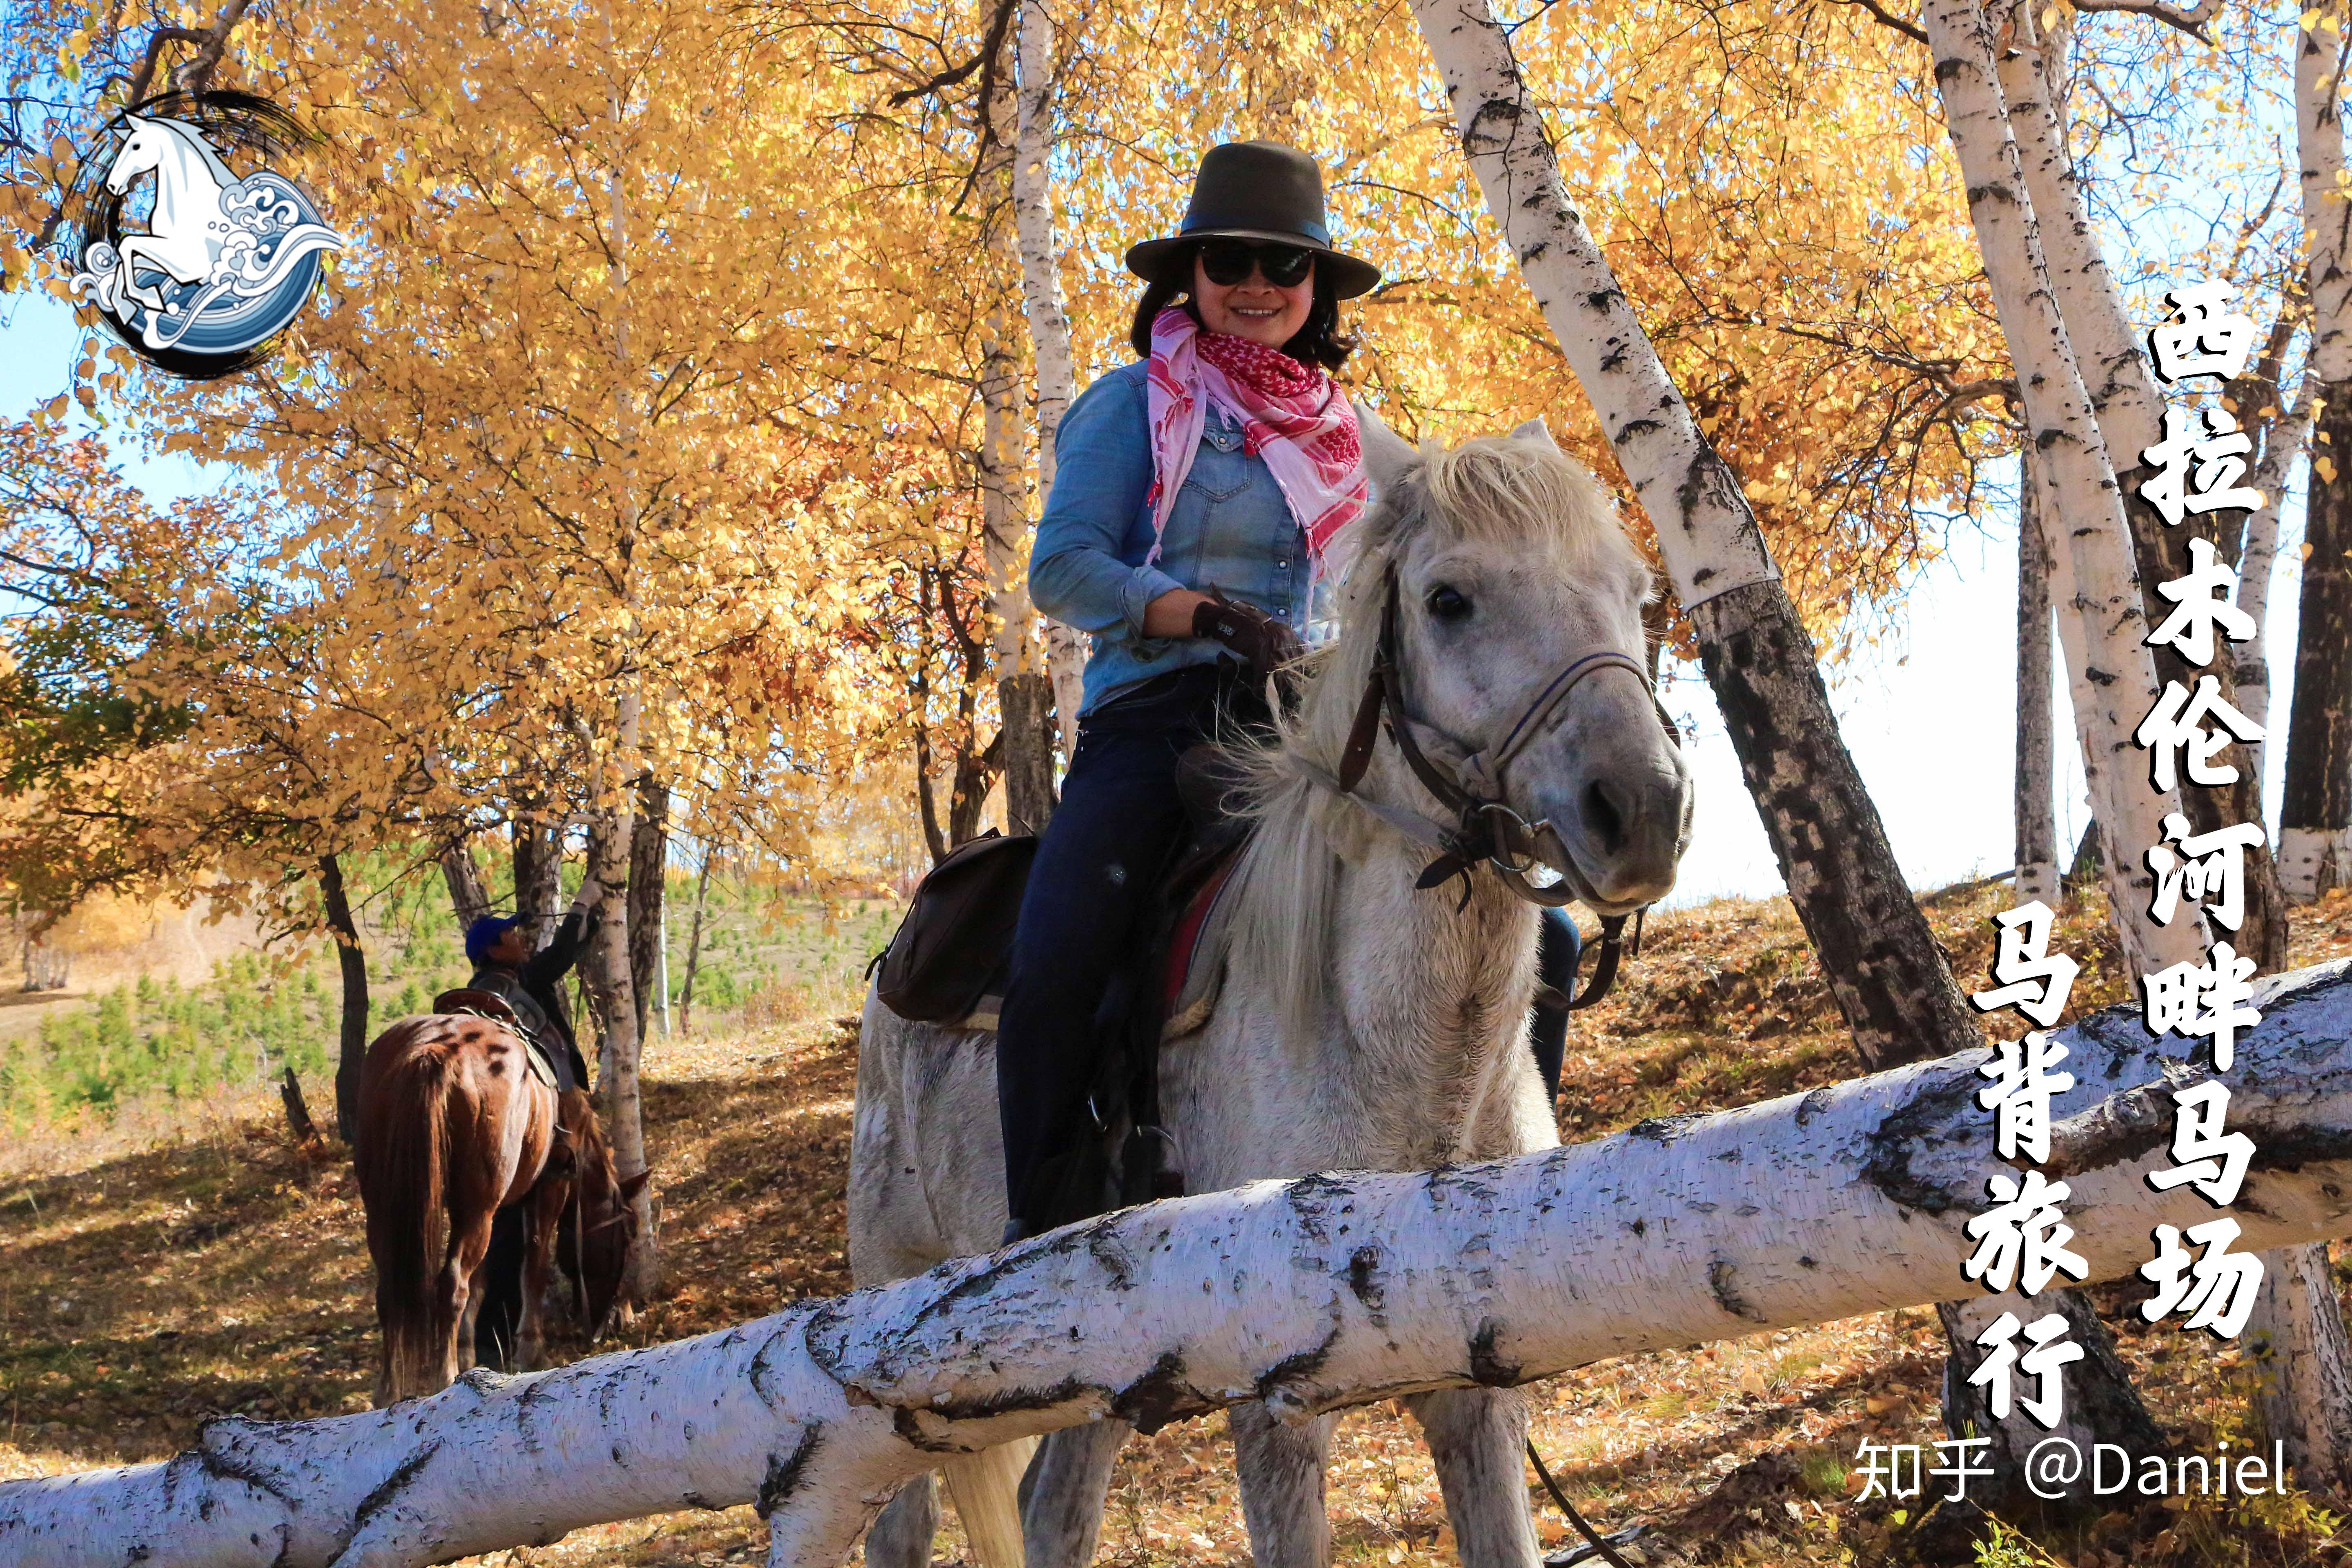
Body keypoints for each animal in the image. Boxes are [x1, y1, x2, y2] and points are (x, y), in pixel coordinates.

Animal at [350, 1020, 644, 1410]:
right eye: (625, 1237)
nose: (618, 1317)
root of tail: (435, 1053)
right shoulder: (551, 1184)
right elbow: (534, 1265)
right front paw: (531, 1349)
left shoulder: (494, 1208)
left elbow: (482, 1280)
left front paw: (468, 1352)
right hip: (477, 1208)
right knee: (452, 1283)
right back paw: (443, 1378)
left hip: (386, 1209)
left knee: (390, 1293)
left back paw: (389, 1391)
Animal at [851, 411, 1693, 1561]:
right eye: (1448, 599)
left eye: (1635, 589)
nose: (1642, 808)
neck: (1392, 1052)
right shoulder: (1277, 1413)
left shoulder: (1477, 1395)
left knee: (1055, 1513)